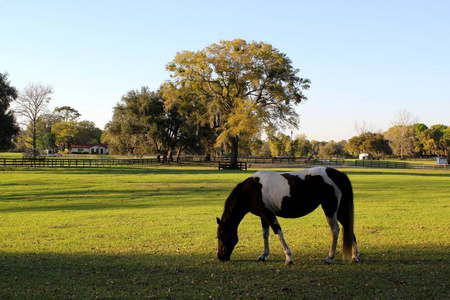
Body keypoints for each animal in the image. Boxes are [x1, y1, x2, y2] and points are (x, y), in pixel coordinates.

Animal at [216, 166, 360, 264]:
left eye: (221, 235)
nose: (221, 256)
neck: (252, 189)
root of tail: (338, 174)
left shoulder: (268, 213)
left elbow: (278, 233)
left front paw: (288, 257)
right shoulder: (263, 216)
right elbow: (265, 234)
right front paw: (263, 255)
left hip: (330, 209)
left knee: (335, 230)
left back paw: (330, 258)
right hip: (340, 211)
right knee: (348, 227)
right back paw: (354, 256)